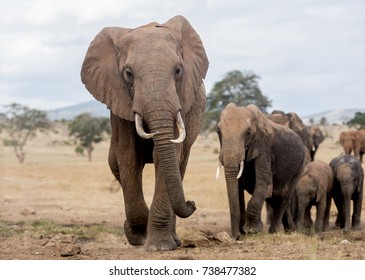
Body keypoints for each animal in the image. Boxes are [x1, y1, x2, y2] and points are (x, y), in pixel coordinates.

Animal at [81, 15, 209, 252]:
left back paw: (173, 239)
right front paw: (139, 236)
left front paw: (159, 246)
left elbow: (165, 157)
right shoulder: (119, 100)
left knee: (179, 168)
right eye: (128, 74)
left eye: (178, 70)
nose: (192, 203)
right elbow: (128, 157)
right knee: (116, 164)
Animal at [216, 103, 304, 238]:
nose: (237, 237)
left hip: (299, 168)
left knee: (284, 197)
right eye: (218, 132)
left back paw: (274, 231)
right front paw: (243, 232)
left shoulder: (264, 150)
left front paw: (252, 231)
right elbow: (238, 188)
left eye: (248, 133)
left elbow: (263, 184)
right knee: (275, 199)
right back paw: (291, 230)